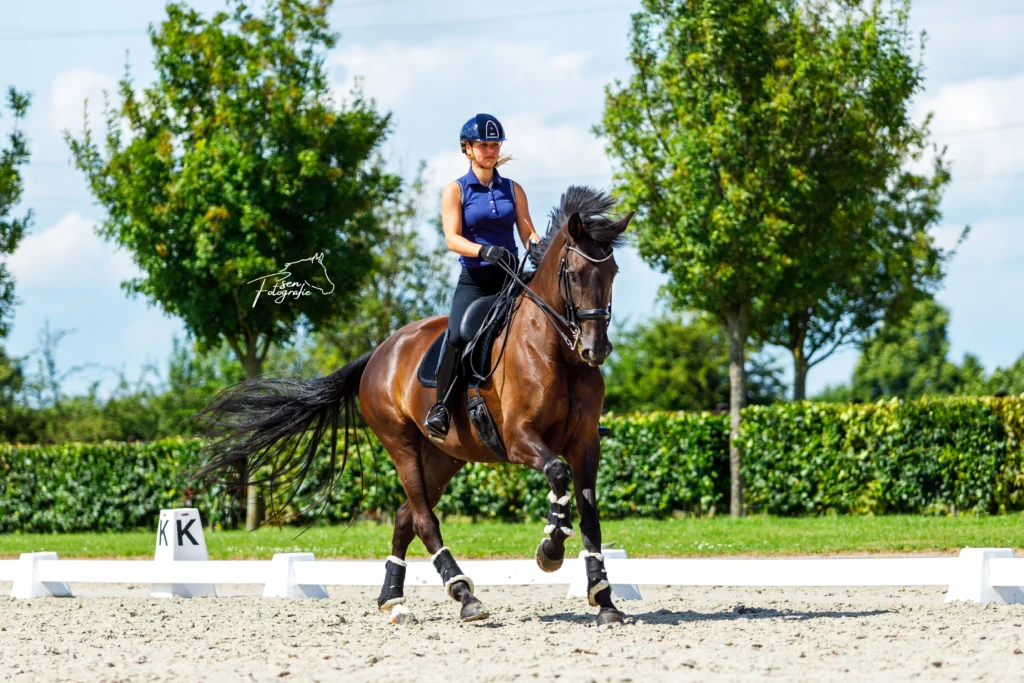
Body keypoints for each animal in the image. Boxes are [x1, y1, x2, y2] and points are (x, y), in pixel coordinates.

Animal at [191, 185, 630, 626]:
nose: (595, 350)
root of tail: (378, 353)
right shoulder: (520, 438)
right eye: (572, 275)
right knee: (423, 518)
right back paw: (464, 595)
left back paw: (394, 599)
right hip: (400, 443)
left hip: (443, 456)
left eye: (612, 273)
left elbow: (590, 514)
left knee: (405, 516)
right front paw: (551, 550)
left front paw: (604, 599)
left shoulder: (585, 443)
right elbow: (556, 474)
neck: (557, 352)